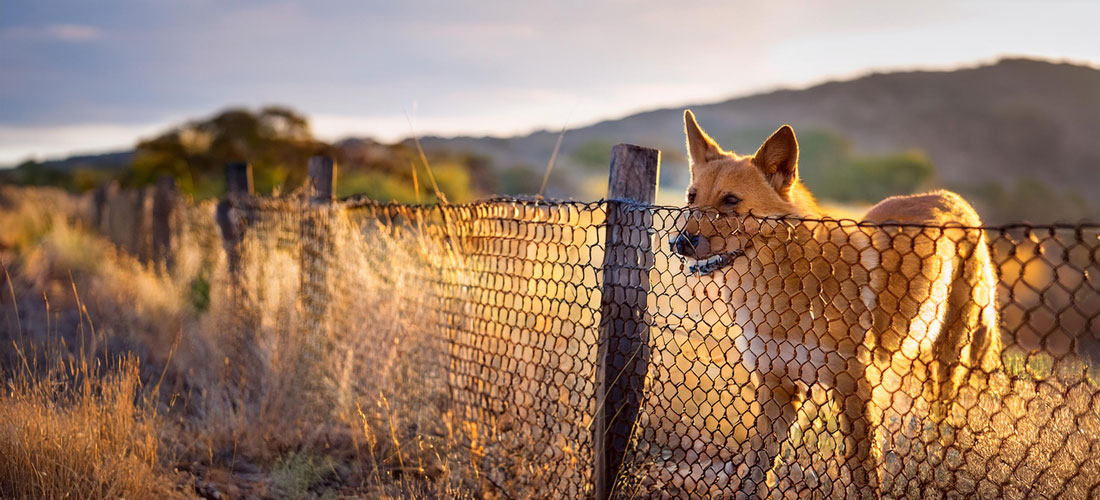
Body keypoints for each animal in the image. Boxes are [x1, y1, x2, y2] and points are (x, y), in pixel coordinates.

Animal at [668, 111, 1007, 498]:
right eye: (692, 197)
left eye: (730, 201)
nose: (679, 243)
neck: (785, 287)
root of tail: (956, 200)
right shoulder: (777, 390)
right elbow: (755, 471)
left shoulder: (854, 388)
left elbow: (863, 473)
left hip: (949, 356)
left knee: (943, 420)